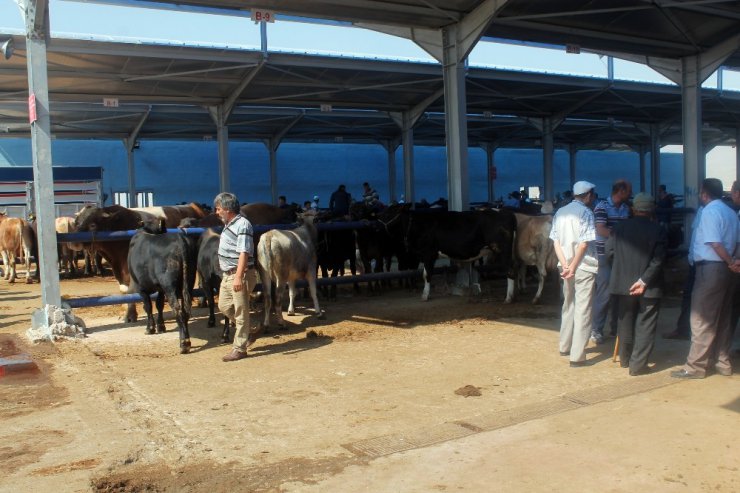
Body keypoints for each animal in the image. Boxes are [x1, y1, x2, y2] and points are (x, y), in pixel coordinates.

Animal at [128, 223, 198, 354]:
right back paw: (185, 340)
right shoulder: (160, 289)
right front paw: (161, 326)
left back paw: (184, 344)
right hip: (188, 282)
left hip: (169, 285)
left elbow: (148, 307)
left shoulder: (141, 288)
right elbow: (159, 304)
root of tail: (180, 239)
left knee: (177, 310)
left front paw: (150, 328)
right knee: (185, 310)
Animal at [376, 203, 516, 300]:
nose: (377, 221)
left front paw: (425, 296)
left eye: (390, 212)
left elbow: (427, 274)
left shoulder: (428, 253)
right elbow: (424, 274)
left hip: (502, 249)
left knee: (510, 269)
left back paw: (508, 298)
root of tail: (506, 212)